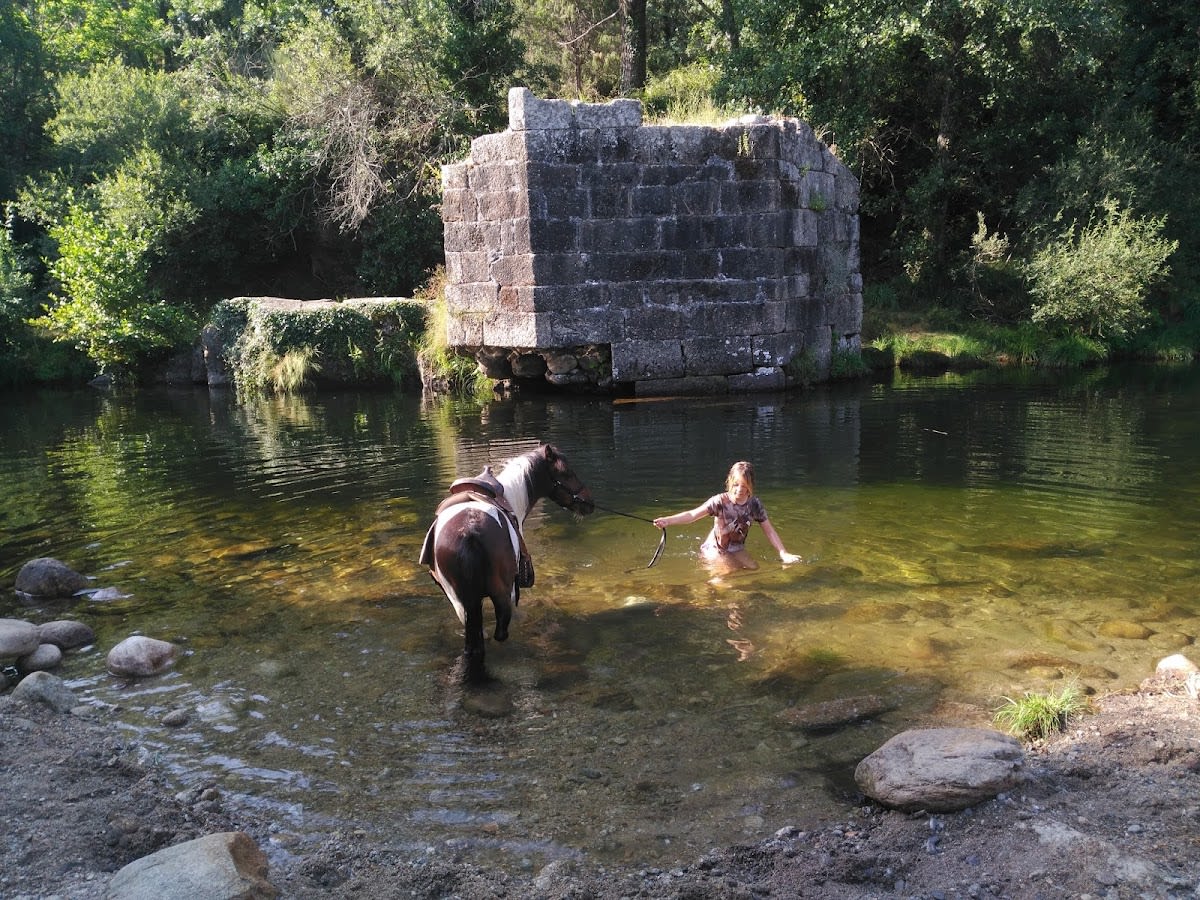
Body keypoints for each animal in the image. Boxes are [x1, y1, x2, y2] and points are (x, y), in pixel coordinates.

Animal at [420, 443, 593, 675]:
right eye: (566, 472)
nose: (589, 503)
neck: (510, 498)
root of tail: (469, 531)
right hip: (502, 593)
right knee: (499, 633)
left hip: (459, 600)